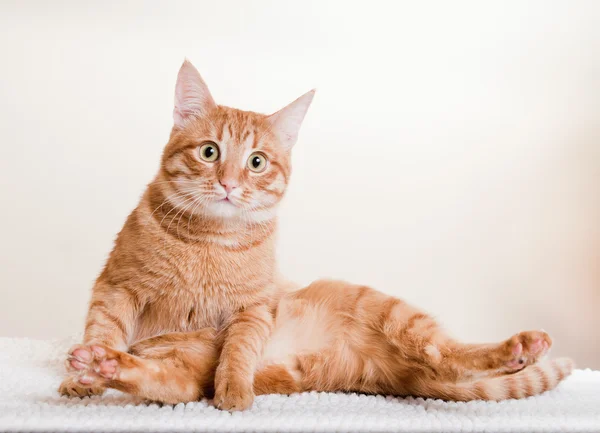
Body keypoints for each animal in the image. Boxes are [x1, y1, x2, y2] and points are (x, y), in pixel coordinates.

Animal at [63, 60, 576, 408]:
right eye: (210, 152)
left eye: (256, 162)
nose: (229, 184)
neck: (210, 242)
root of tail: (390, 376)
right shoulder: (116, 287)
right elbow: (103, 328)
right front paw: (78, 379)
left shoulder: (254, 310)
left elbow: (238, 350)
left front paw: (234, 392)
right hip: (183, 366)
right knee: (160, 378)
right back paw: (104, 364)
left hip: (392, 310)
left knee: (448, 353)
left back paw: (520, 350)